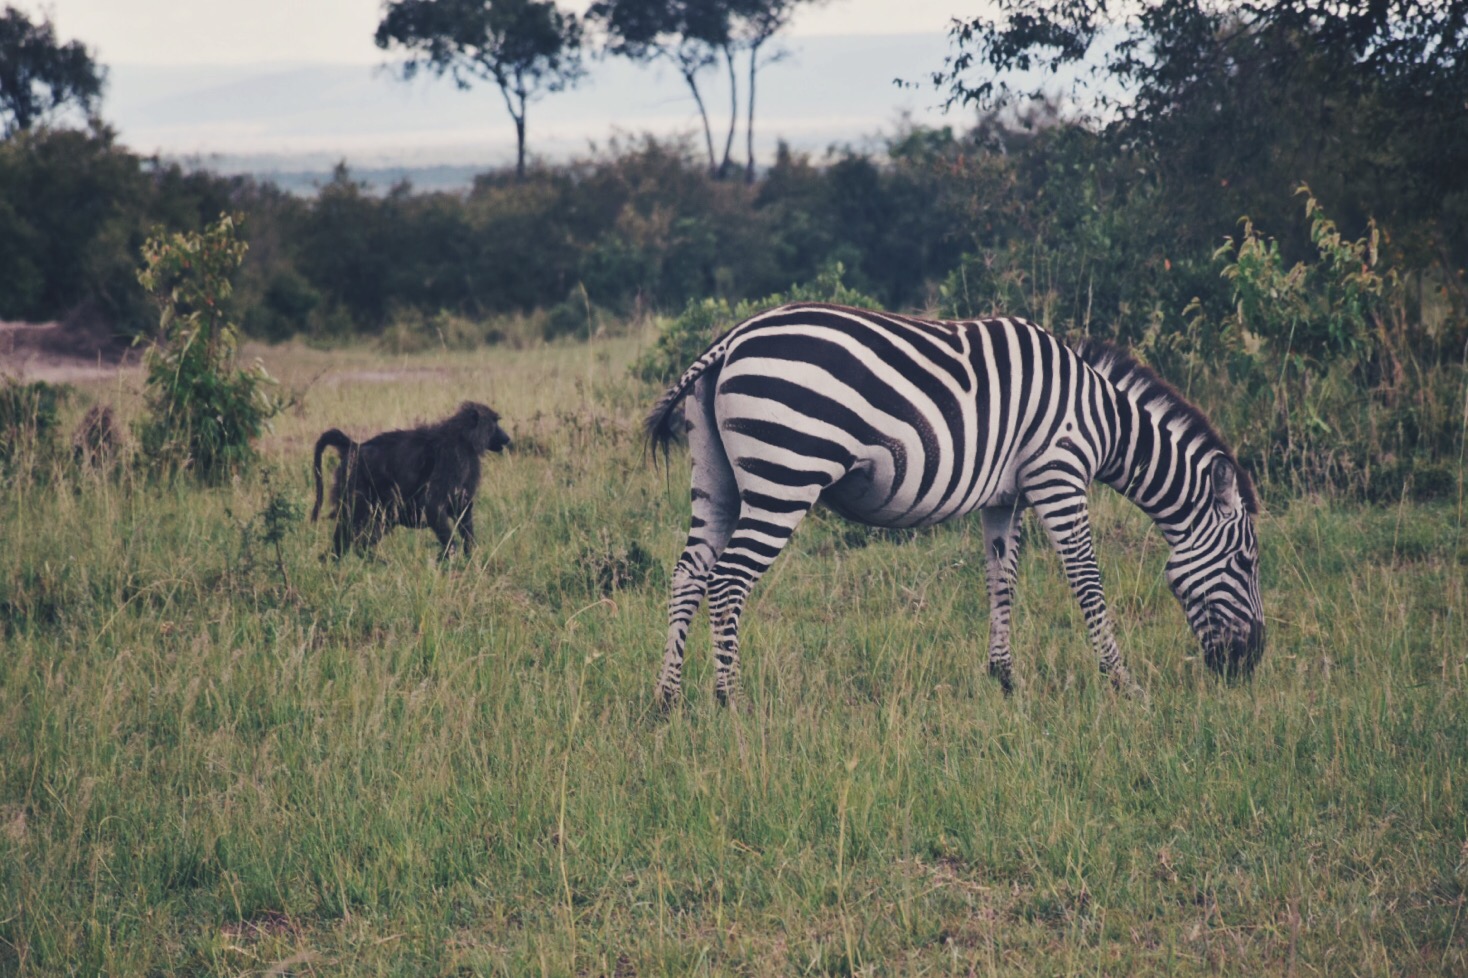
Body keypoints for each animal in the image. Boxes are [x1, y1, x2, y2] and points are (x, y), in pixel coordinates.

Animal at [311, 401, 510, 560]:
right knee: (353, 523)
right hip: (356, 483)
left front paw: (471, 557)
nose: (507, 438)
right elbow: (432, 504)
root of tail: (354, 446)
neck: (464, 437)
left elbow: (463, 511)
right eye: (495, 423)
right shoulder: (454, 457)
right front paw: (449, 555)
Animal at [645, 302, 1264, 707]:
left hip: (718, 480)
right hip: (786, 475)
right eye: (1246, 563)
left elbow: (1002, 581)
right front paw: (1124, 684)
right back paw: (730, 703)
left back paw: (667, 701)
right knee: (728, 581)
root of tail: (731, 339)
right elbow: (1087, 580)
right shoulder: (1058, 476)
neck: (1103, 419)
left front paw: (1006, 680)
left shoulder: (1006, 497)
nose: (1251, 663)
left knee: (688, 575)